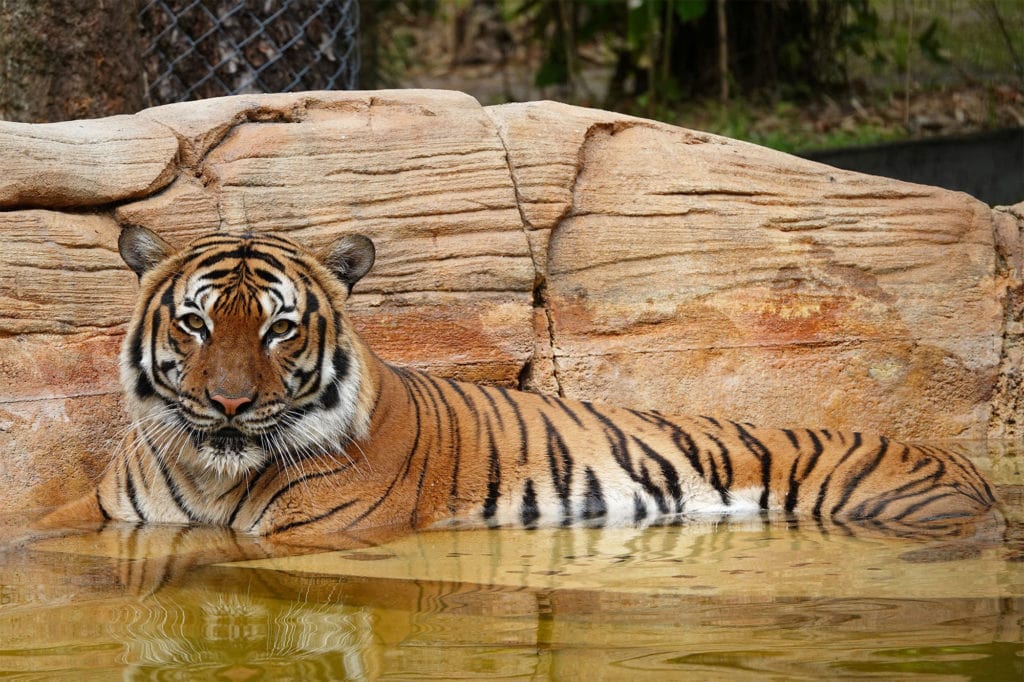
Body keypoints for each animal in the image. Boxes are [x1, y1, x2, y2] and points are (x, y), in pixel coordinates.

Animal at [41, 225, 999, 544]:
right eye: (196, 324)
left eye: (280, 328)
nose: (231, 404)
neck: (213, 471)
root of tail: (972, 469)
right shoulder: (104, 513)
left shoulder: (317, 535)